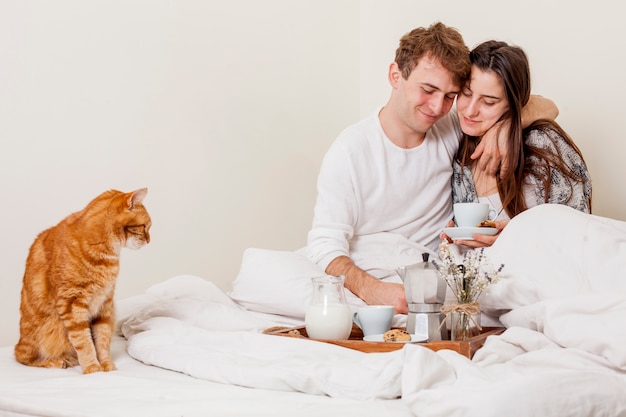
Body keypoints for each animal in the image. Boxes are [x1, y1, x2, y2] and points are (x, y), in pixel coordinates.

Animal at [14, 188, 151, 374]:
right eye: (144, 227)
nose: (149, 240)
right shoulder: (72, 304)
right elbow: (84, 342)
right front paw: (93, 368)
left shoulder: (105, 304)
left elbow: (102, 340)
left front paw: (106, 365)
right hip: (42, 332)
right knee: (23, 357)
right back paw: (56, 361)